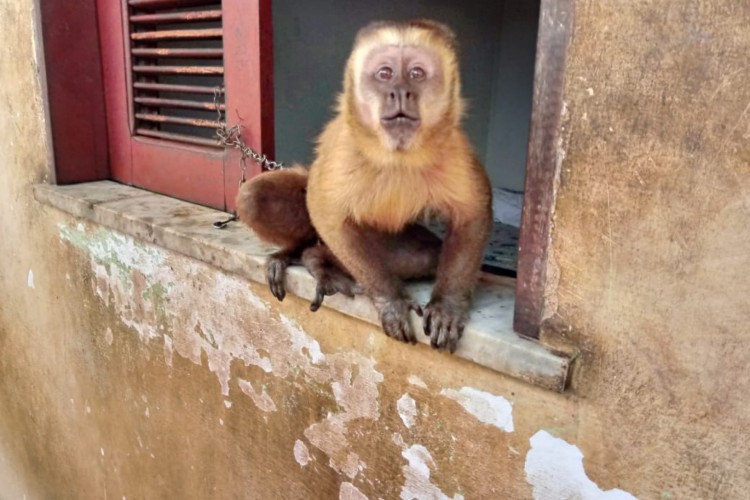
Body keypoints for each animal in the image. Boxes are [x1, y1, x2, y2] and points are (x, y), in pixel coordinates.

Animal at [237, 19, 492, 353]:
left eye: (416, 73)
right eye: (385, 74)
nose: (400, 92)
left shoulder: (453, 145)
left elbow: (473, 213)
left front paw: (447, 307)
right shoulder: (346, 146)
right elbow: (325, 210)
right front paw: (390, 301)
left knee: (424, 255)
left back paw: (316, 258)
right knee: (255, 199)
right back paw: (303, 254)